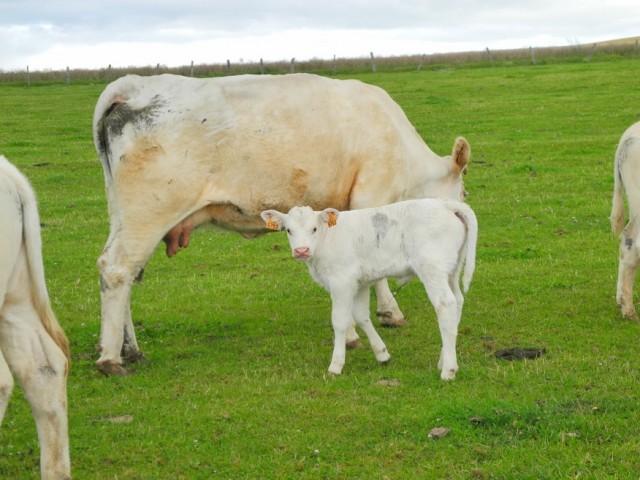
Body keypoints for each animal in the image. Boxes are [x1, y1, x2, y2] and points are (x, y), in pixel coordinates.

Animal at [258, 198, 476, 378]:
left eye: (314, 229)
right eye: (289, 230)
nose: (301, 250)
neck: (327, 239)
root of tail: (448, 204)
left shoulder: (341, 280)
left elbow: (340, 321)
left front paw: (336, 365)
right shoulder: (360, 283)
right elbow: (361, 316)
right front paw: (382, 354)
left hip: (432, 268)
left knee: (445, 304)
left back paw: (448, 370)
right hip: (452, 269)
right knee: (458, 301)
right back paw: (443, 360)